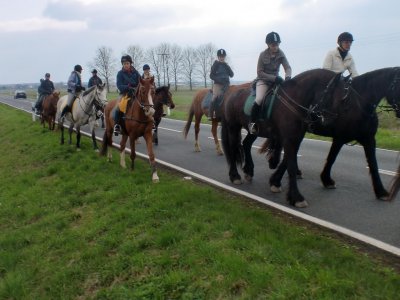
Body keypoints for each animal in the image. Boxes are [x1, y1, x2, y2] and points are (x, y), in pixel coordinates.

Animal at [220, 69, 346, 207]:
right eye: (335, 96)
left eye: (344, 99)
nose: (330, 122)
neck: (293, 101)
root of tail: (231, 91)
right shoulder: (289, 139)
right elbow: (291, 165)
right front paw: (297, 197)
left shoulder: (295, 138)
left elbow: (287, 161)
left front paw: (275, 183)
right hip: (233, 127)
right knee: (233, 149)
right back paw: (235, 176)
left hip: (253, 131)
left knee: (246, 144)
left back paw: (248, 171)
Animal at [260, 67, 400, 200]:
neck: (360, 105)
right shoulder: (340, 138)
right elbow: (332, 158)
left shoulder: (369, 139)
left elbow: (373, 164)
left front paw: (381, 191)